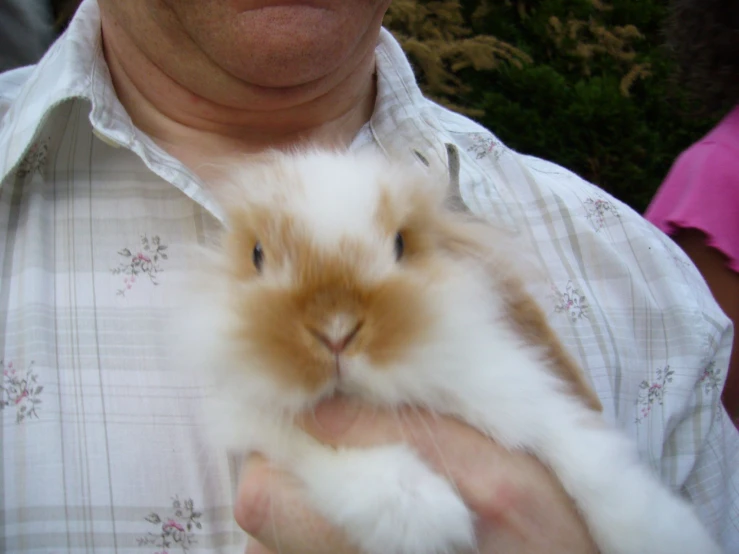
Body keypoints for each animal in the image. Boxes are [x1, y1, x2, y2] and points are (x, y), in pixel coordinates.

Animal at [172, 147, 724, 552]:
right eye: (256, 255)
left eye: (400, 245)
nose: (335, 332)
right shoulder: (260, 426)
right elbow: (323, 453)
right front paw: (424, 514)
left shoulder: (530, 403)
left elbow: (600, 476)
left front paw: (671, 536)